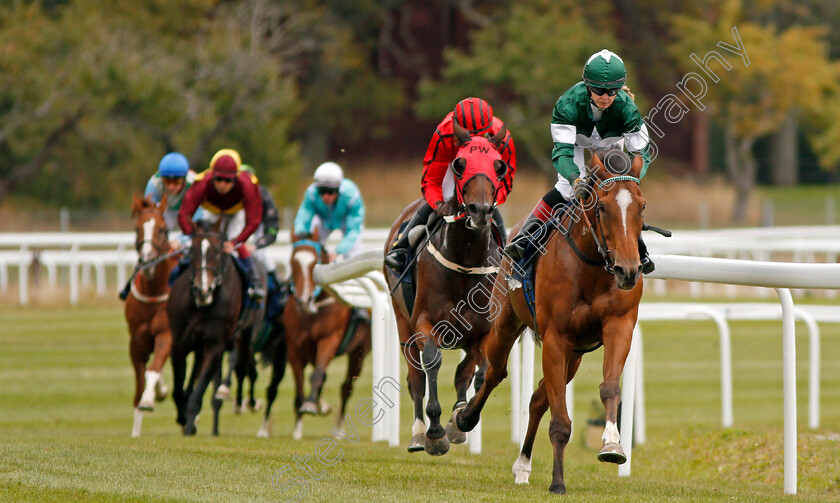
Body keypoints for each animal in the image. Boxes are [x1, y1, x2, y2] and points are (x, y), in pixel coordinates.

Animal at [258, 234, 370, 440]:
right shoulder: (294, 348)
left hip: (359, 351)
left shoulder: (329, 340)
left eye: (316, 262)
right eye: (292, 262)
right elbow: (299, 388)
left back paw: (339, 429)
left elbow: (317, 374)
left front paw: (310, 405)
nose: (303, 300)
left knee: (345, 388)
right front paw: (297, 428)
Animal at [384, 123, 508, 456]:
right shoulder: (424, 321)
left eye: (499, 166)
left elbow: (476, 371)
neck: (465, 262)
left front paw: (458, 418)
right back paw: (418, 433)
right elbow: (432, 361)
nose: (480, 210)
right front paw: (436, 430)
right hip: (402, 321)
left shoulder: (482, 330)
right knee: (415, 377)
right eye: (460, 164)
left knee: (464, 371)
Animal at [452, 151, 644, 496]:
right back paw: (465, 418)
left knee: (538, 398)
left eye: (642, 206)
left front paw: (612, 444)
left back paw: (522, 465)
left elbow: (609, 387)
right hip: (505, 324)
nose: (628, 270)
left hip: (576, 355)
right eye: (603, 207)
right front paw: (557, 482)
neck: (592, 268)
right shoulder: (556, 336)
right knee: (495, 373)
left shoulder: (619, 325)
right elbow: (560, 422)